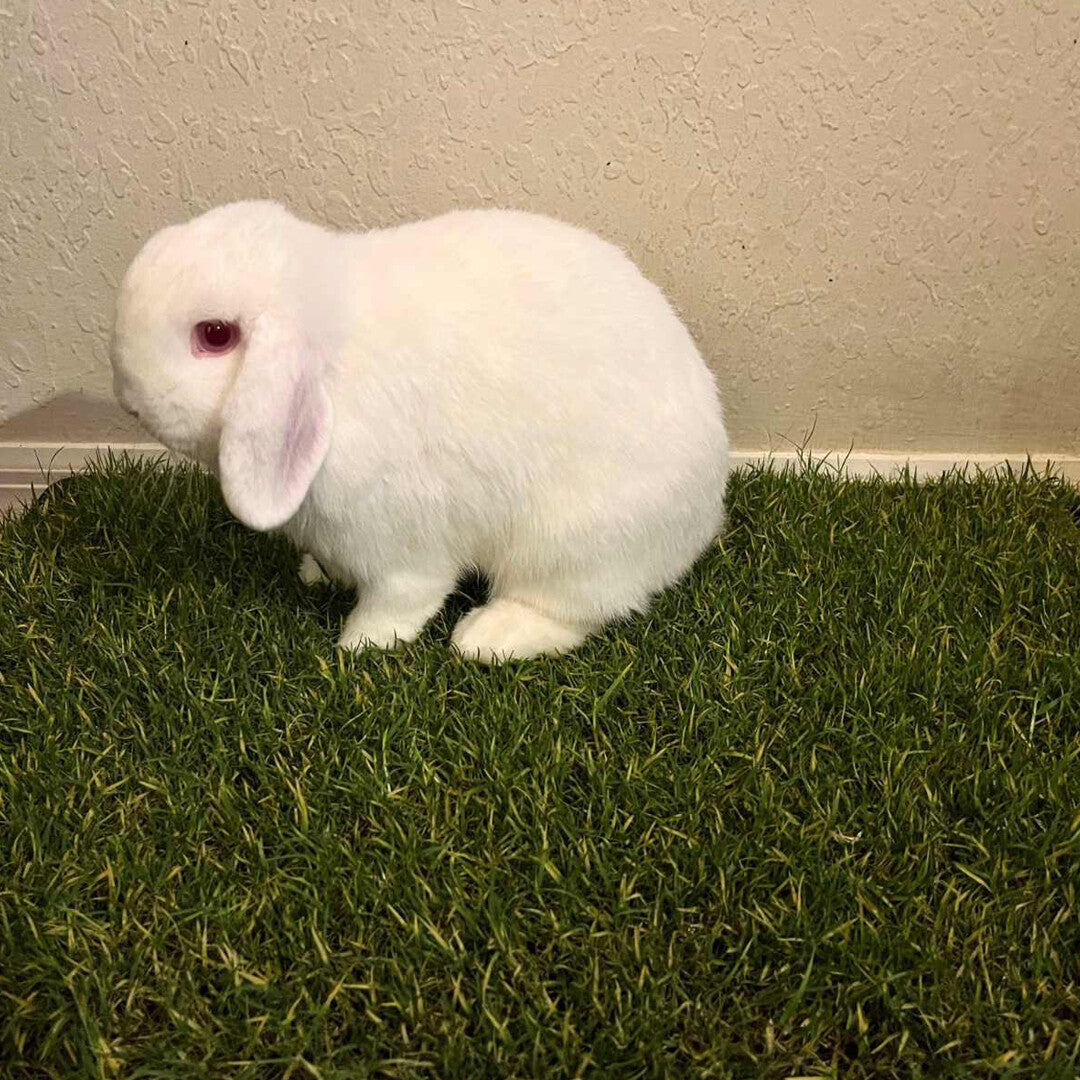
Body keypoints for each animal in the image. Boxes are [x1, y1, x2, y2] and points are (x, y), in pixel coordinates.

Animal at [110, 200, 729, 662]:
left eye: (214, 335)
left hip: (572, 544)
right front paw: (317, 575)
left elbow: (403, 597)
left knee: (577, 610)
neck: (329, 364)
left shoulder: (403, 544)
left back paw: (487, 637)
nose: (128, 396)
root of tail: (704, 516)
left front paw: (359, 646)